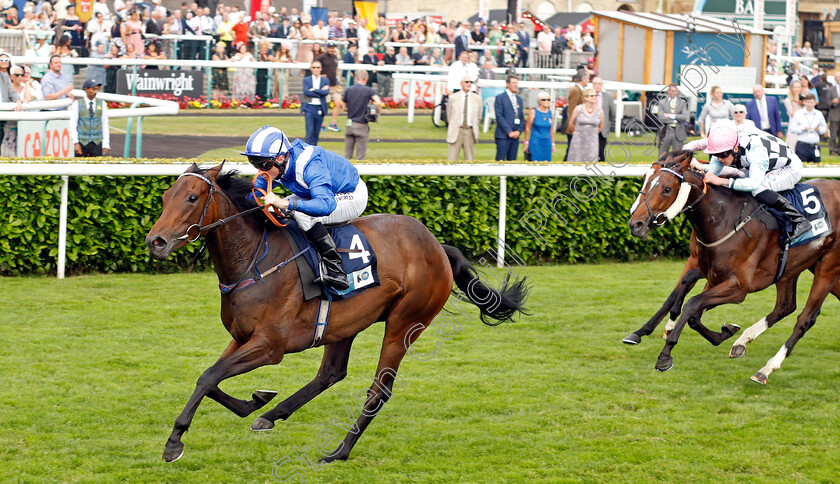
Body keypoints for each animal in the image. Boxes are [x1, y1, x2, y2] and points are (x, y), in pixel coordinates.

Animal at [143, 164, 524, 464]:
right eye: (165, 197)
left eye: (192, 198)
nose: (155, 242)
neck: (254, 259)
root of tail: (437, 246)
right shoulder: (241, 337)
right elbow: (209, 378)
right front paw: (255, 401)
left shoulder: (270, 346)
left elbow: (209, 377)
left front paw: (174, 443)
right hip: (345, 324)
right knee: (330, 373)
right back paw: (272, 415)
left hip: (406, 322)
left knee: (379, 389)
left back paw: (339, 451)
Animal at [628, 149, 840, 384]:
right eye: (645, 181)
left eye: (666, 189)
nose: (635, 224)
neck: (725, 219)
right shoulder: (712, 275)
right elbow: (690, 307)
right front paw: (726, 332)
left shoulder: (738, 287)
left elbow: (692, 303)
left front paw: (665, 355)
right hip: (794, 268)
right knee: (785, 306)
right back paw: (742, 342)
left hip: (828, 268)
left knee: (805, 319)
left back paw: (765, 369)